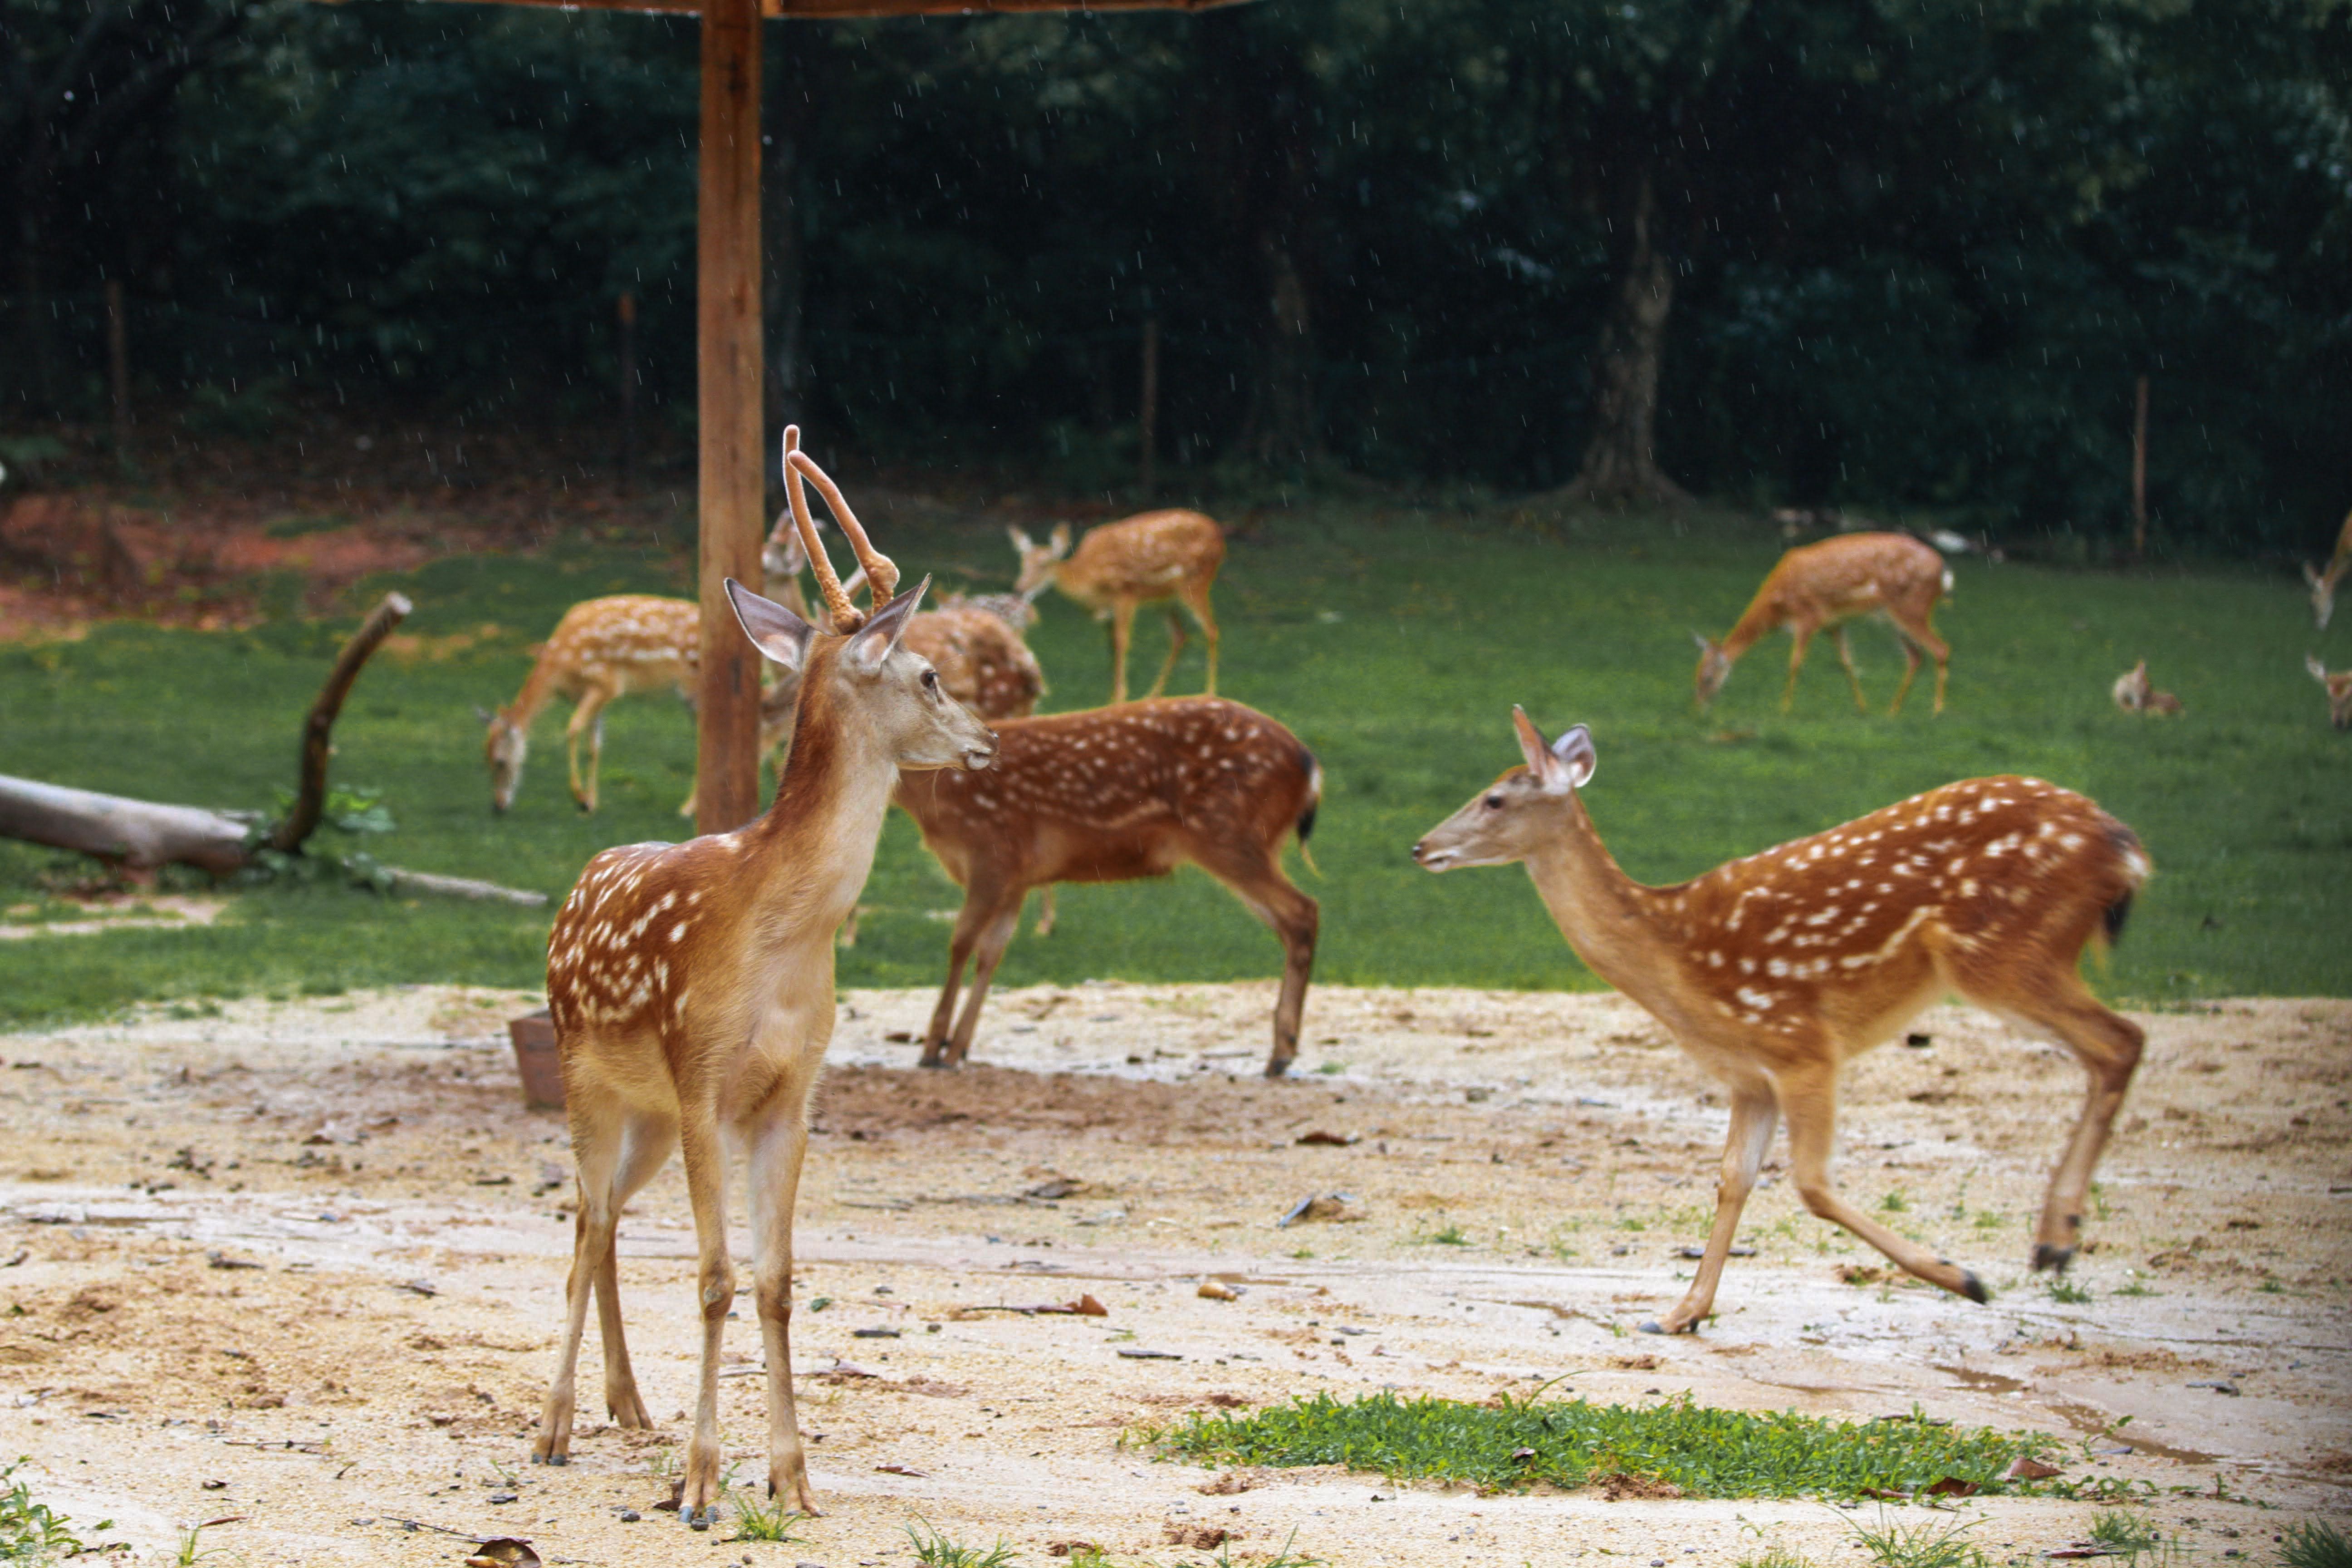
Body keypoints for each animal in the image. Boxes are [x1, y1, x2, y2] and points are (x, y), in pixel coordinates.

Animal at [529, 429, 998, 1526]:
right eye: (928, 674)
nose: (986, 741)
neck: (782, 936)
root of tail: (573, 889)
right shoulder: (703, 1073)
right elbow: (713, 1277)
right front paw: (701, 1485)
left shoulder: (791, 1091)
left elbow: (778, 1281)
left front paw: (792, 1476)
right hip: (585, 1072)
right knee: (587, 1217)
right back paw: (556, 1425)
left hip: (649, 1114)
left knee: (603, 1224)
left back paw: (628, 1407)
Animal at [1011, 509, 1225, 704]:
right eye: (1023, 563)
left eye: (1044, 565)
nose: (1019, 589)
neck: (1090, 578)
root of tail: (1219, 534)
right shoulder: (1109, 610)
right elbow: (1112, 645)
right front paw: (1110, 700)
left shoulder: (1125, 594)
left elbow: (1122, 642)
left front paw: (1120, 698)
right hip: (1165, 598)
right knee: (1180, 635)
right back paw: (1151, 696)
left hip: (1195, 581)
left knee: (1211, 629)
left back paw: (1210, 693)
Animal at [1413, 708, 2150, 1335]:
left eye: (1495, 799)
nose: (1421, 847)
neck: (1675, 957)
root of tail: (2124, 846)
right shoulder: (1750, 1076)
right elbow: (1732, 1179)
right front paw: (1682, 1314)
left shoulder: (1802, 1044)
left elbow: (1813, 1184)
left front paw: (1961, 1276)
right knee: (2114, 1046)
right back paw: (2056, 1240)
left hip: (2001, 952)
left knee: (2122, 1039)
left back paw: (2055, 1239)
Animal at [1695, 532, 1953, 716]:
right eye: (1694, 677)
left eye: (1707, 678)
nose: (1700, 710)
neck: (1777, 608)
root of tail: (1943, 571)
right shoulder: (1833, 624)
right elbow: (1847, 662)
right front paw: (1862, 708)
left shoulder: (1808, 617)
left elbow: (1795, 663)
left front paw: (1784, 709)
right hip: (1893, 616)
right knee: (1916, 656)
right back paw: (1893, 711)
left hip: (1912, 606)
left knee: (1941, 648)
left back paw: (1937, 710)